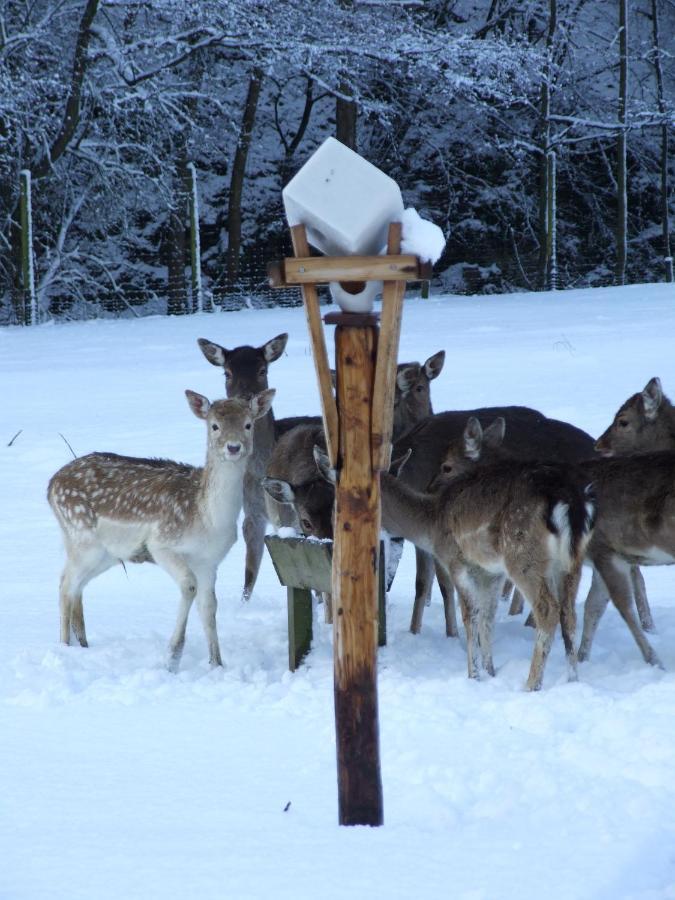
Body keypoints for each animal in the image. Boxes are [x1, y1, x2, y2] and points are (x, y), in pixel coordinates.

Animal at [47, 386, 276, 668]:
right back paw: (64, 648)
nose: (233, 447)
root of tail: (51, 485)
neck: (207, 518)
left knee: (76, 586)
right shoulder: (161, 544)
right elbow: (189, 586)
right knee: (65, 583)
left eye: (248, 424)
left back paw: (82, 644)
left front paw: (217, 663)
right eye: (214, 426)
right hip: (81, 537)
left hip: (106, 553)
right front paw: (172, 658)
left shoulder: (209, 560)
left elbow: (209, 606)